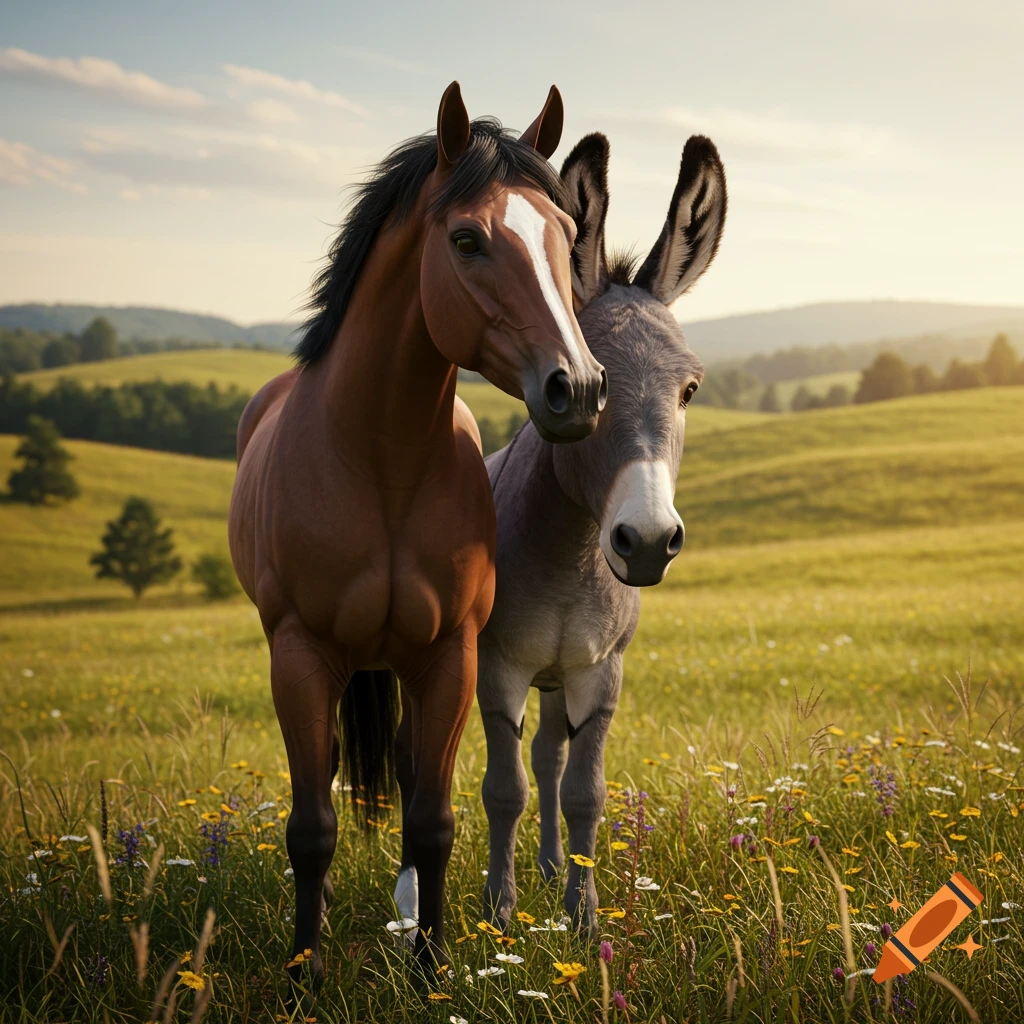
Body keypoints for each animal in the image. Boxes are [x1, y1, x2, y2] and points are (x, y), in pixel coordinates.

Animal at [228, 81, 608, 984]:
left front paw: (431, 965)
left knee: (401, 764)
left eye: (565, 233)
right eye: (468, 240)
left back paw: (404, 916)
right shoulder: (300, 654)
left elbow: (432, 818)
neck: (380, 461)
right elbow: (312, 825)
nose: (577, 388)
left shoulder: (449, 656)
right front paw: (305, 971)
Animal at [473, 131, 727, 932]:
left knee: (552, 757)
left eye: (690, 390)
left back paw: (555, 868)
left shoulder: (600, 670)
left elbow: (584, 791)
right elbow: (504, 790)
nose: (645, 541)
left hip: (561, 680)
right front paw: (498, 912)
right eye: (595, 387)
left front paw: (581, 915)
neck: (571, 555)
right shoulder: (498, 668)